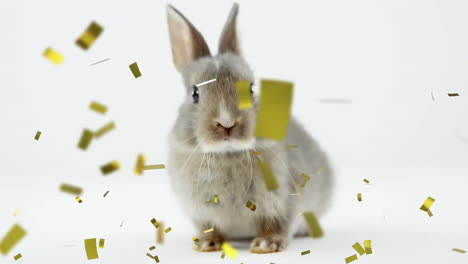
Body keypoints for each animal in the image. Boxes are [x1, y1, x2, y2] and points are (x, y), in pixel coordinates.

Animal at [165, 2, 332, 254]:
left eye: (252, 88)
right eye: (195, 93)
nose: (227, 123)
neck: (227, 154)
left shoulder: (283, 200)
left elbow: (277, 224)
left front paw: (266, 244)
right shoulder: (199, 210)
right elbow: (209, 227)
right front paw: (207, 244)